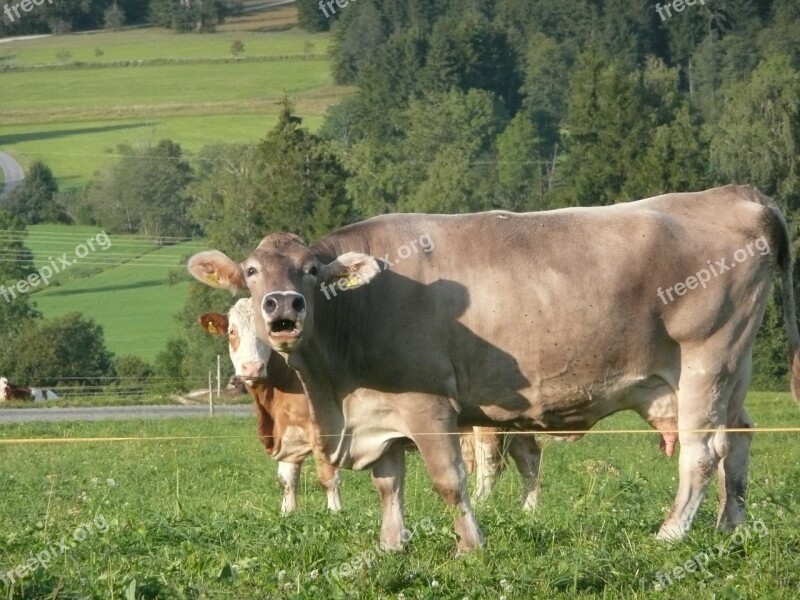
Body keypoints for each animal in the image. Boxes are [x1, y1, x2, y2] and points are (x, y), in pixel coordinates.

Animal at [198, 298, 544, 512]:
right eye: (232, 332)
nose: (251, 369)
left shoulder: (324, 432)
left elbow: (327, 477)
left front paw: (335, 512)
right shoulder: (289, 432)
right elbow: (287, 478)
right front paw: (288, 513)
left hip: (487, 426)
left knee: (490, 465)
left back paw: (481, 504)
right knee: (528, 457)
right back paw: (529, 509)